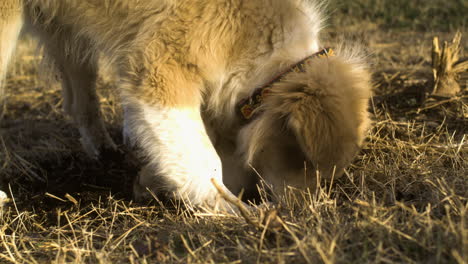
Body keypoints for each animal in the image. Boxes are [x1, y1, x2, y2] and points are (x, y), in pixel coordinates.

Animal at [0, 0, 372, 210]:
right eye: (303, 162)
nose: (303, 213)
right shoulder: (159, 67)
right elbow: (204, 158)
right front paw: (230, 209)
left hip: (67, 33)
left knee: (80, 98)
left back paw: (104, 149)